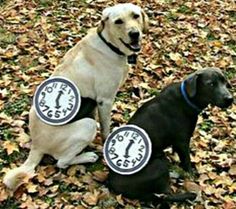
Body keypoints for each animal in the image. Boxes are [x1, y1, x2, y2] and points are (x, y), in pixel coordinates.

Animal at [108, 68, 233, 207]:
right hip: (160, 164)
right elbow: (187, 161)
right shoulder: (182, 142)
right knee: (165, 195)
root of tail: (113, 184)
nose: (230, 99)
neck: (186, 98)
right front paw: (190, 174)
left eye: (225, 82)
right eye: (211, 84)